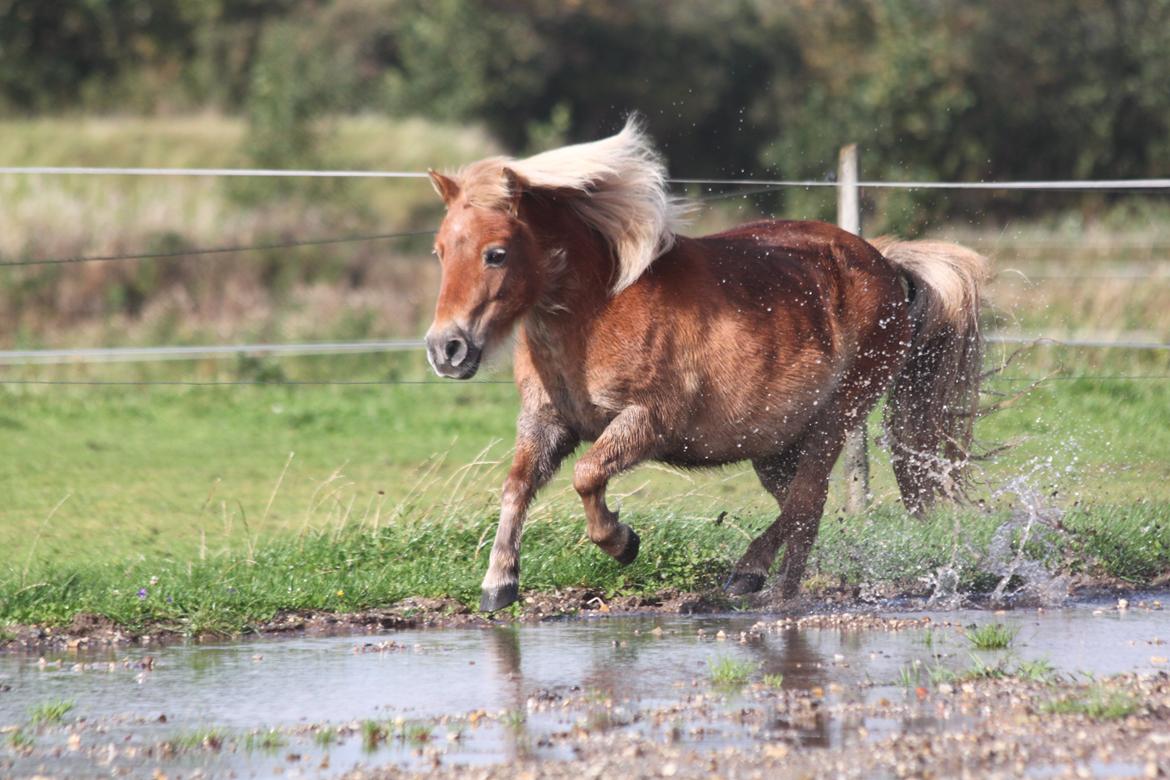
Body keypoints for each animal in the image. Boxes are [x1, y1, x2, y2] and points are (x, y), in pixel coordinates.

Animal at [423, 120, 987, 608]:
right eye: (440, 250)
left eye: (496, 253)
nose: (446, 349)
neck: (598, 310)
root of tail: (885, 264)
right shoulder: (546, 423)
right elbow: (517, 485)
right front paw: (499, 582)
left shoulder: (647, 422)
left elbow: (587, 474)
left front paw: (621, 541)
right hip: (775, 443)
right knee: (804, 506)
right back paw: (763, 582)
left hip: (837, 417)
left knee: (806, 502)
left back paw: (764, 588)